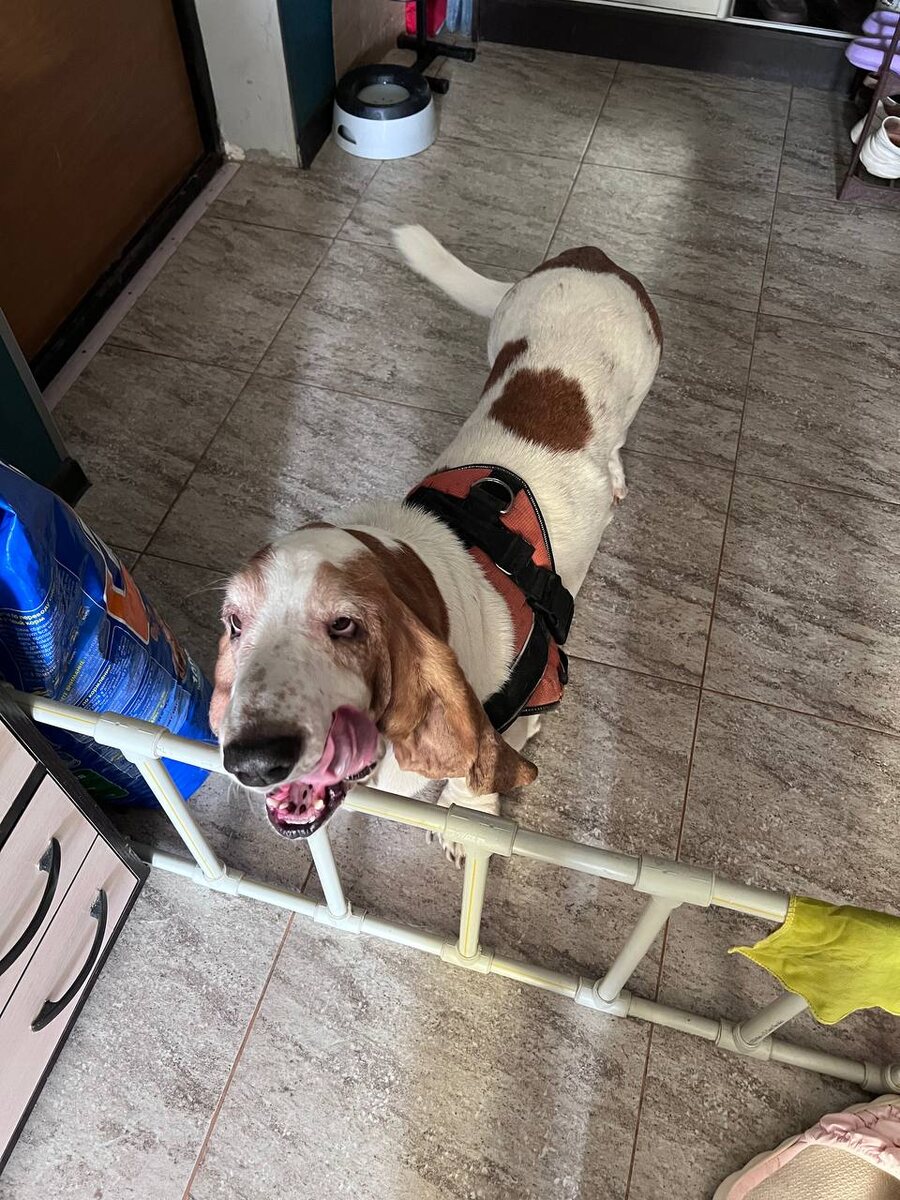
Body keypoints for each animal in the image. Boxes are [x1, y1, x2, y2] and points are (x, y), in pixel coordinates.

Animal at [210, 227, 662, 862]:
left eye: (345, 625)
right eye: (235, 622)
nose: (251, 760)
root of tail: (589, 257)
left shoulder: (519, 718)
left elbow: (476, 784)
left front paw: (468, 829)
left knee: (619, 440)